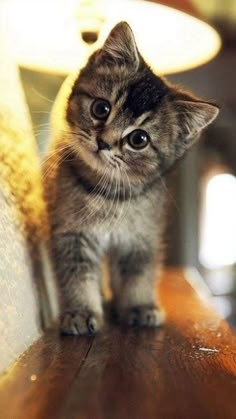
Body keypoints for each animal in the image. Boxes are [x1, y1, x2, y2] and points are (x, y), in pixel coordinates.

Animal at [42, 21, 219, 336]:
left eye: (139, 139)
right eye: (101, 108)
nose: (103, 142)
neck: (107, 193)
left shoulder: (142, 236)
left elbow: (139, 274)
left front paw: (138, 306)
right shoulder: (70, 231)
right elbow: (77, 275)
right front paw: (81, 311)